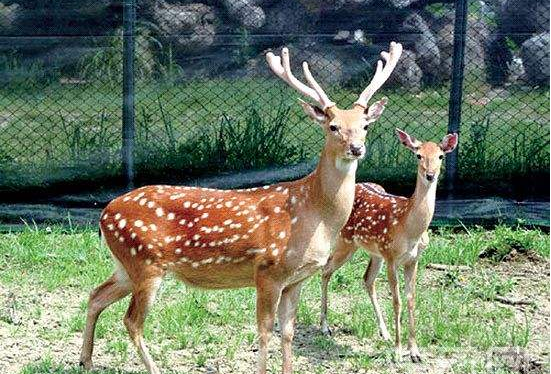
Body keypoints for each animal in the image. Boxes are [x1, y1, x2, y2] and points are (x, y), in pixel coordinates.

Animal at [80, 42, 404, 372]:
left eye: (365, 126)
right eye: (333, 126)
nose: (357, 148)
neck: (315, 215)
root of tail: (105, 214)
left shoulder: (297, 279)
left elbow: (288, 332)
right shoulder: (268, 270)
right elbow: (264, 331)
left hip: (126, 265)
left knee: (95, 295)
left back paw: (86, 361)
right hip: (146, 262)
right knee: (131, 321)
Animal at [316, 128, 460, 362]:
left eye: (441, 156)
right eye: (418, 155)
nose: (430, 175)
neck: (409, 228)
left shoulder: (413, 260)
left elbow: (411, 300)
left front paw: (415, 351)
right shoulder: (392, 257)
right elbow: (397, 301)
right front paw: (398, 351)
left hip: (375, 252)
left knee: (367, 279)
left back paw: (384, 331)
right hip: (346, 241)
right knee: (326, 270)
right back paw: (324, 326)